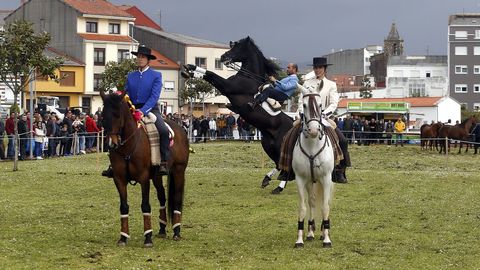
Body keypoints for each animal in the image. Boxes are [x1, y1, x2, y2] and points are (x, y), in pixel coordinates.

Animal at [100, 91, 189, 247]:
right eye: (103, 115)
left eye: (117, 115)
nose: (111, 144)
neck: (128, 146)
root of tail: (180, 128)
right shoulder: (119, 179)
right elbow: (123, 206)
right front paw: (123, 237)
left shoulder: (143, 179)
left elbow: (145, 206)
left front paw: (148, 237)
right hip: (157, 176)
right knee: (162, 197)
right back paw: (162, 229)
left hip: (178, 171)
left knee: (177, 198)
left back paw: (176, 231)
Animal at [185, 37, 292, 187]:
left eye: (238, 47)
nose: (223, 57)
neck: (248, 78)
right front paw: (190, 68)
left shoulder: (228, 87)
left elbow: (211, 74)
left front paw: (191, 69)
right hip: (268, 145)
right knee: (280, 164)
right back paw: (267, 179)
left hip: (279, 146)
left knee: (287, 167)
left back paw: (279, 186)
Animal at [290, 85, 336, 248]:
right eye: (304, 105)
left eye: (320, 104)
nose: (314, 131)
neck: (312, 146)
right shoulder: (301, 179)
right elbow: (303, 207)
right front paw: (299, 239)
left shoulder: (326, 178)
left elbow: (325, 206)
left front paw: (327, 239)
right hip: (311, 181)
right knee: (312, 201)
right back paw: (310, 232)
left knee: (324, 202)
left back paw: (323, 232)